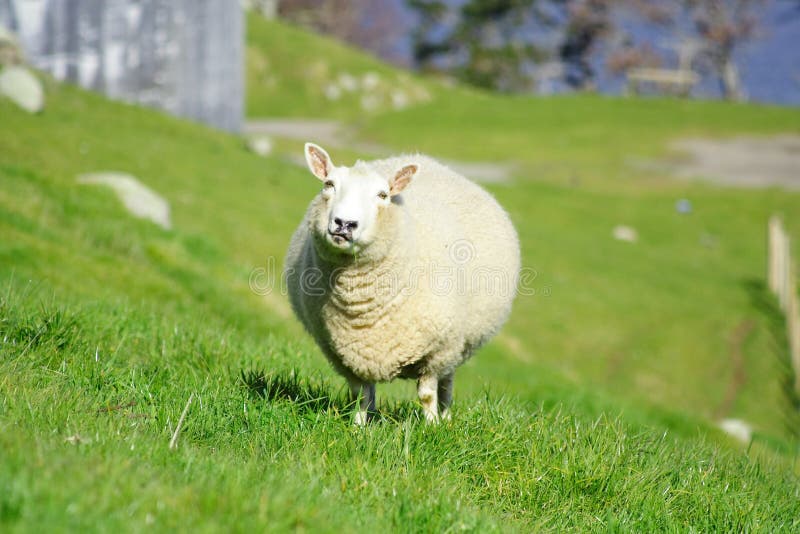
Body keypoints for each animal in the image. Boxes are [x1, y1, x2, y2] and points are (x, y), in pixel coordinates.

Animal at [284, 143, 520, 428]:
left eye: (383, 194)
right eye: (329, 184)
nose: (344, 224)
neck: (360, 303)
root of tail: (422, 159)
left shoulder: (436, 352)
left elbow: (427, 394)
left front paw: (432, 427)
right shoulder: (343, 354)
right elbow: (360, 394)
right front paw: (358, 427)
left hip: (454, 345)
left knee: (446, 384)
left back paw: (446, 416)